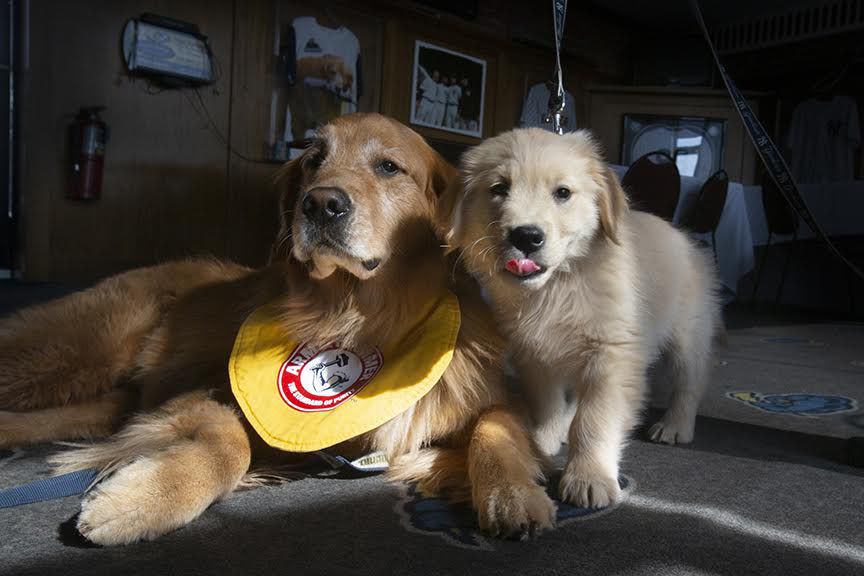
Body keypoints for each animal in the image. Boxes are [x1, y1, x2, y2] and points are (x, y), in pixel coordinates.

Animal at [0, 115, 552, 548]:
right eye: (314, 160)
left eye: (388, 167)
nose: (321, 204)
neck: (357, 314)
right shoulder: (207, 392)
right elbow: (230, 446)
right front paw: (140, 501)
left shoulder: (479, 398)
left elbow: (495, 425)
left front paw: (514, 494)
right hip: (68, 353)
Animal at [446, 128, 724, 506]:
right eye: (499, 188)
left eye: (563, 193)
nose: (526, 237)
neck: (559, 286)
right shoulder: (534, 354)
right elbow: (548, 402)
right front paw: (545, 439)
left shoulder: (611, 357)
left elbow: (595, 418)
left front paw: (589, 476)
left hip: (688, 334)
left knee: (690, 381)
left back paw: (676, 425)